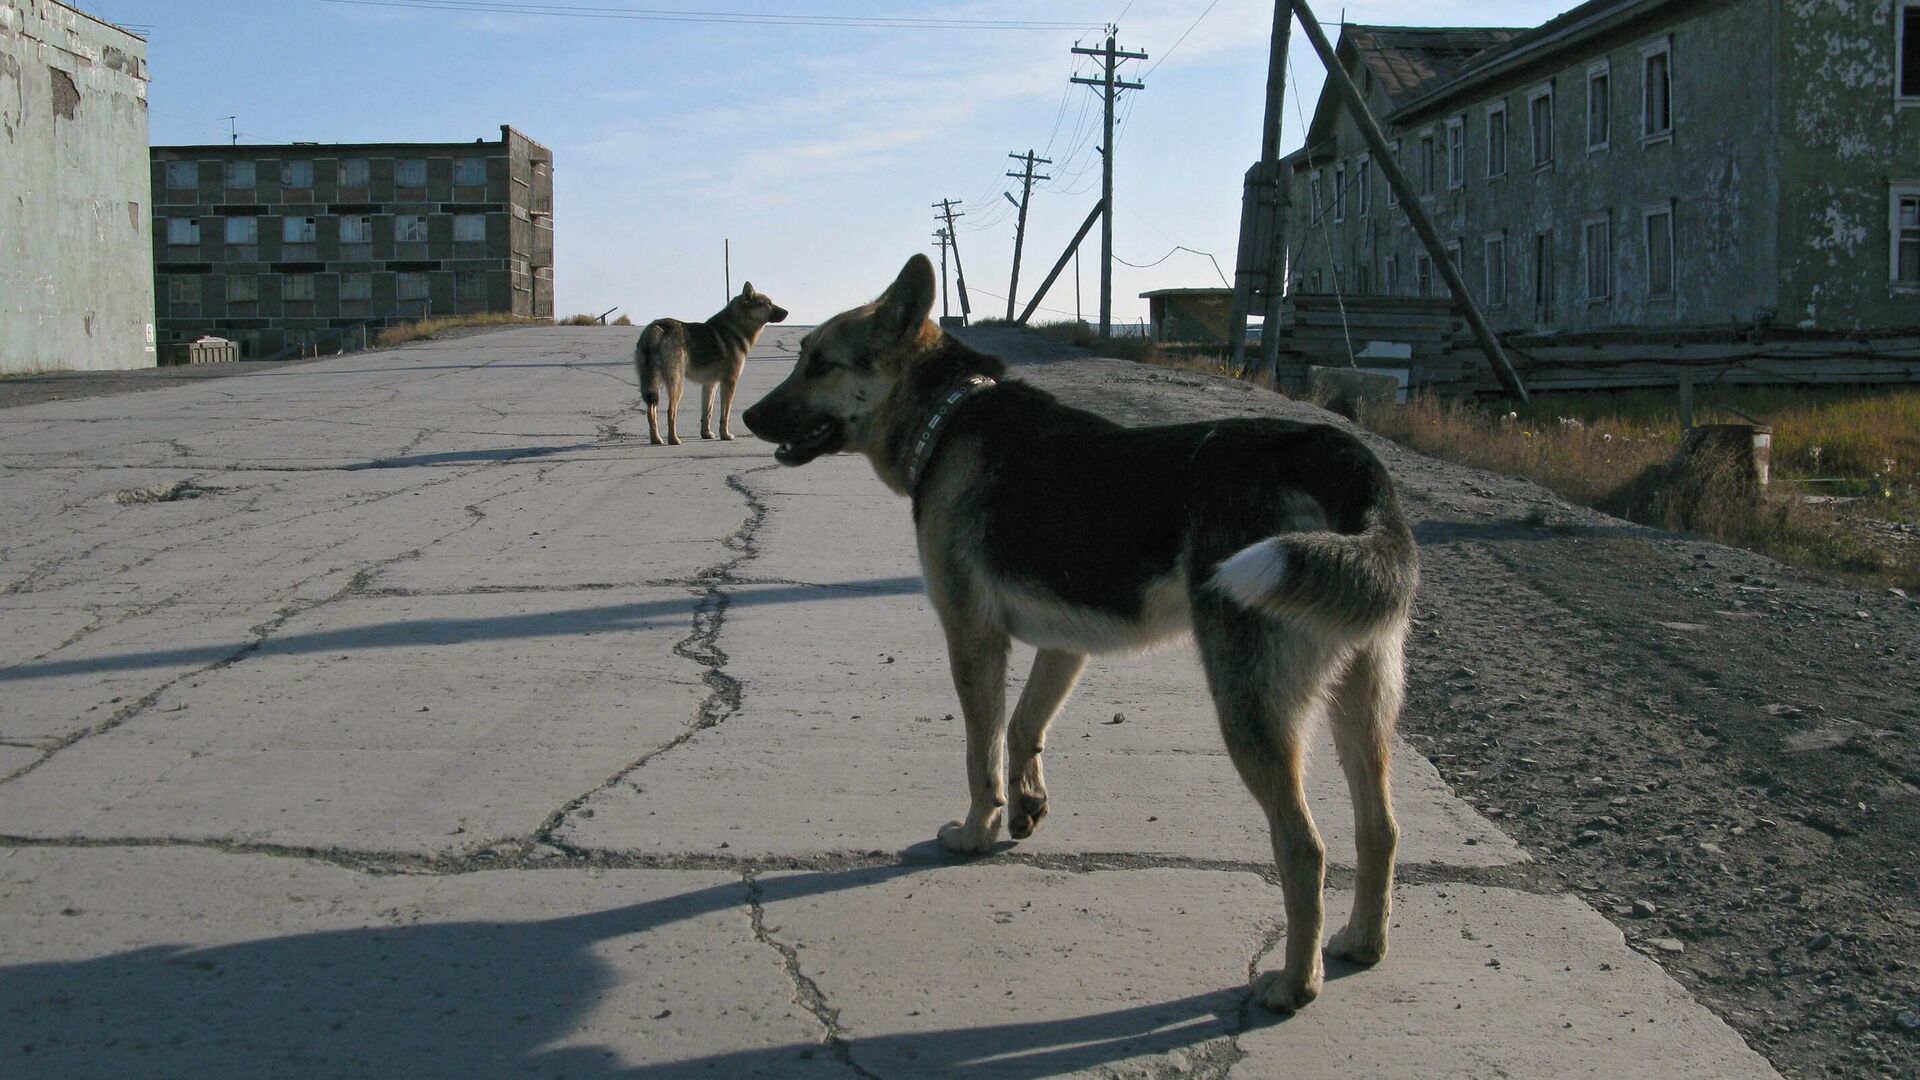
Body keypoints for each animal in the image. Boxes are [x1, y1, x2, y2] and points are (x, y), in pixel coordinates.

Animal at [629, 284, 779, 443]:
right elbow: (725, 414)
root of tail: (655, 328)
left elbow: (707, 413)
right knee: (671, 411)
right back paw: (674, 440)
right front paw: (725, 435)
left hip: (653, 386)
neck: (735, 329)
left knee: (651, 411)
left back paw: (656, 439)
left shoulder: (710, 384)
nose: (786, 312)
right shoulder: (729, 382)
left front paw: (706, 434)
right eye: (768, 303)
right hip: (677, 385)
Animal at [741, 253, 1420, 1006]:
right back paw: (1364, 942)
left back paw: (1294, 985)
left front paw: (976, 832)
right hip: (1362, 703)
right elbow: (1023, 728)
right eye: (802, 357)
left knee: (1304, 847)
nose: (746, 414)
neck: (947, 415)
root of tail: (1345, 457)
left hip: (1251, 708)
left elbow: (980, 754)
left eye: (821, 364)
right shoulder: (1063, 644)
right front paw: (1027, 807)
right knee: (1379, 829)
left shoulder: (973, 638)